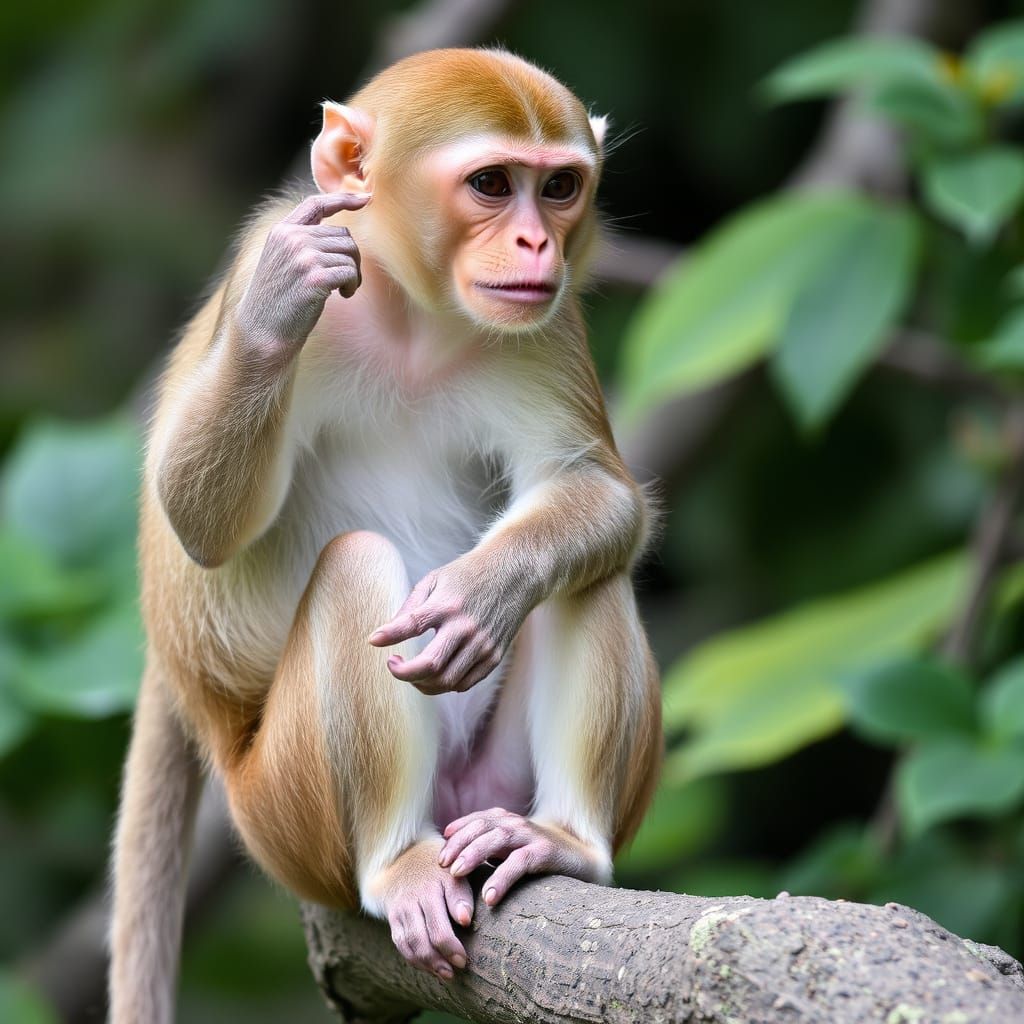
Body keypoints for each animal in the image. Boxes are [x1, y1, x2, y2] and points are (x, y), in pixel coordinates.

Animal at [109, 48, 661, 1022]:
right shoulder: (275, 250)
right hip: (285, 815)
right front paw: (273, 314)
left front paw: (485, 592)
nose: (539, 245)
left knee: (590, 575)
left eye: (559, 187)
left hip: (480, 790)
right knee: (354, 565)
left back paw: (559, 838)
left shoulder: (546, 324)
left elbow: (595, 490)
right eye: (492, 184)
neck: (414, 314)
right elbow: (199, 528)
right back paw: (395, 864)